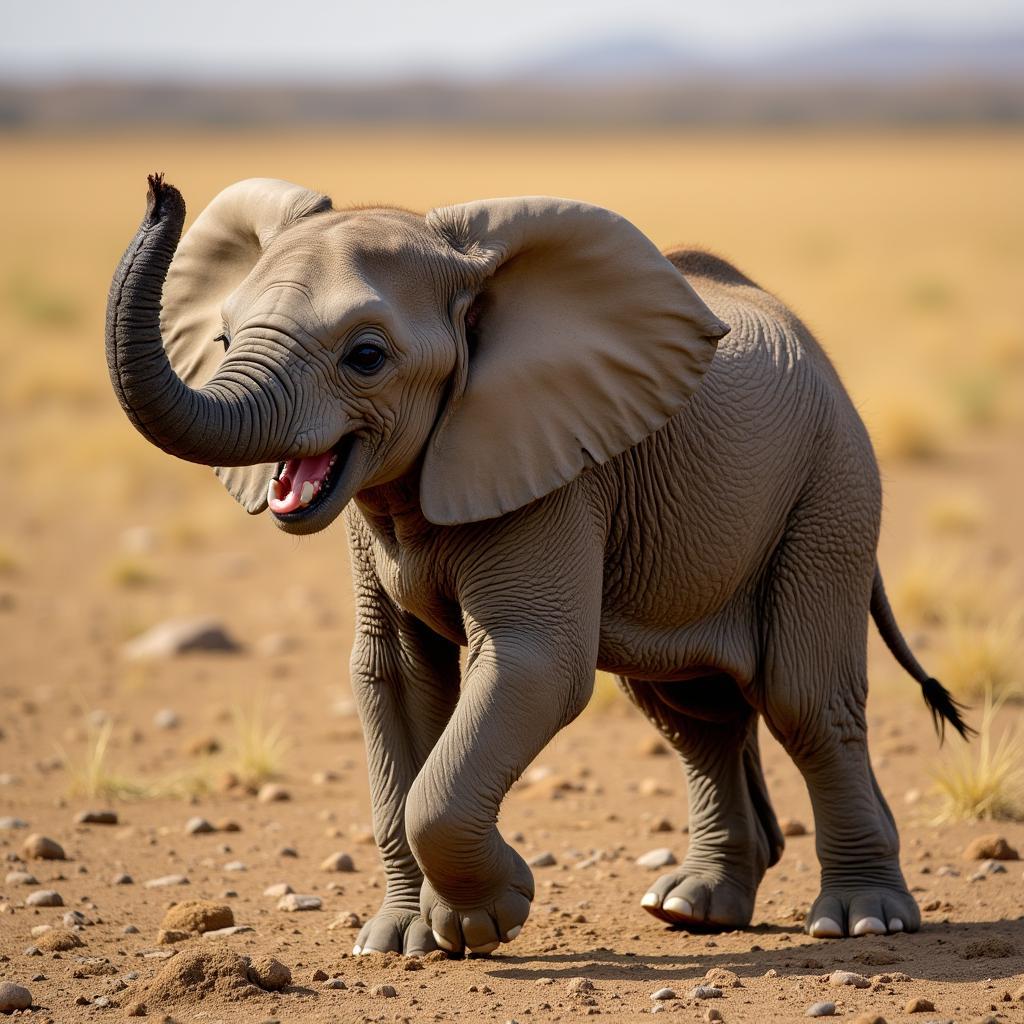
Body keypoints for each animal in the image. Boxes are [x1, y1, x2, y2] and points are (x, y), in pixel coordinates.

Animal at [108, 174, 970, 958]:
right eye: (223, 343)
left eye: (366, 356)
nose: (158, 190)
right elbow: (393, 677)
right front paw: (399, 944)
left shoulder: (557, 477)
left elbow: (535, 664)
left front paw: (489, 918)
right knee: (692, 713)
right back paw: (692, 908)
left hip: (831, 491)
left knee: (802, 699)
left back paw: (860, 920)